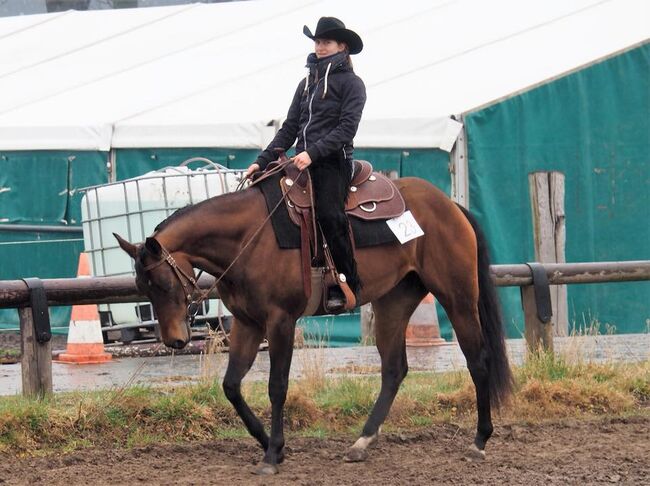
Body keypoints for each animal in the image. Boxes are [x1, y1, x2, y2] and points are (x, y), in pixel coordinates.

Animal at [115, 174, 512, 474]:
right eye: (142, 287)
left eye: (163, 283)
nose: (174, 341)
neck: (249, 238)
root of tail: (450, 205)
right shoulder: (247, 323)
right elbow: (230, 386)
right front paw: (270, 444)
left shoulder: (280, 321)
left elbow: (277, 387)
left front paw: (272, 454)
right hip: (393, 302)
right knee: (394, 369)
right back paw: (362, 442)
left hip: (458, 297)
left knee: (478, 361)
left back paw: (479, 442)